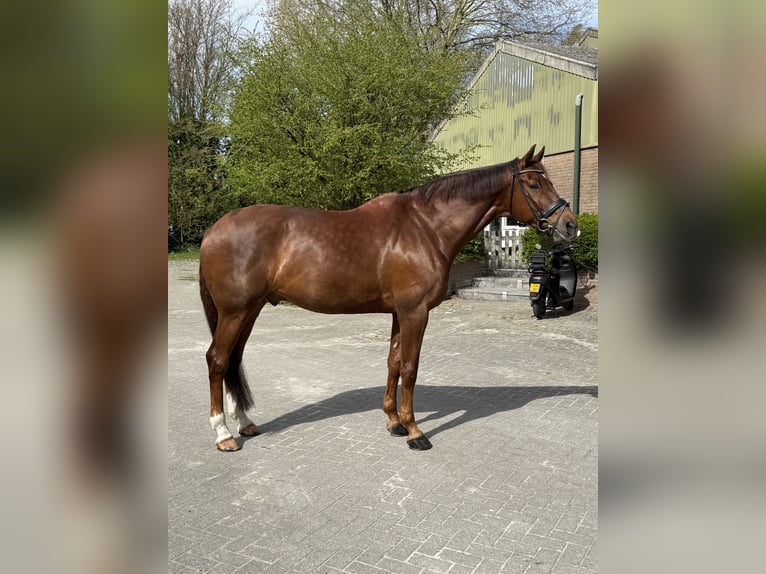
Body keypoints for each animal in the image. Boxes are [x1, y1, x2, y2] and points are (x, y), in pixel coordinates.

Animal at [199, 145, 578, 451]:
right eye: (534, 184)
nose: (570, 226)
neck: (426, 227)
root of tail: (213, 230)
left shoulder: (399, 313)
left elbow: (393, 362)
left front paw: (394, 422)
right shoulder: (415, 312)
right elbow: (410, 368)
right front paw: (415, 431)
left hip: (249, 310)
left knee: (233, 360)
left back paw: (245, 423)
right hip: (235, 312)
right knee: (217, 360)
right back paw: (223, 434)